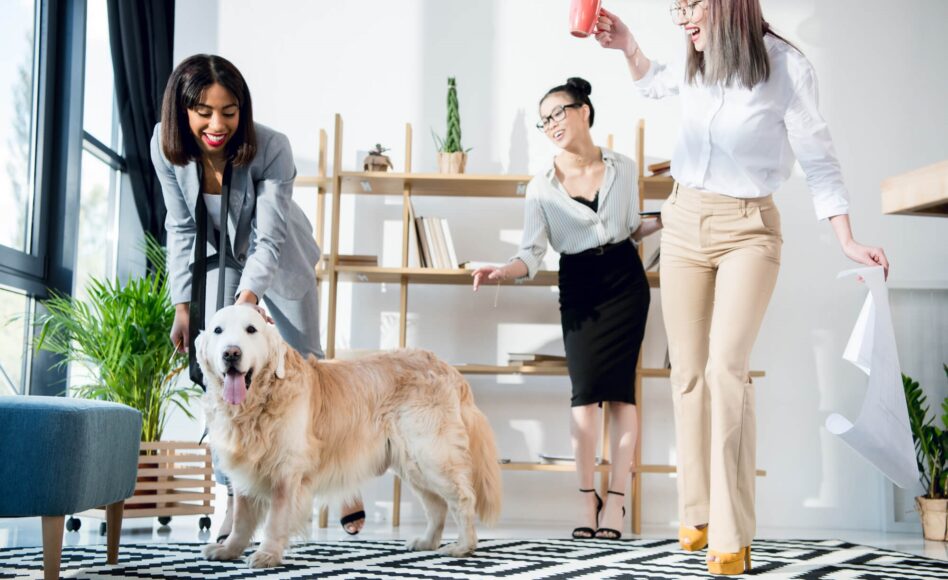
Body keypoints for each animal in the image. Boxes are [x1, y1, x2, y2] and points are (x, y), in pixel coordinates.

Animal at [193, 306, 504, 568]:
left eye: (251, 330)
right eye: (218, 330)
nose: (231, 354)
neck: (257, 403)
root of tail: (449, 369)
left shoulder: (287, 471)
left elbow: (275, 519)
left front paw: (267, 554)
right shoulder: (245, 472)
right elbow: (241, 518)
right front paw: (229, 549)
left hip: (431, 455)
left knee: (462, 498)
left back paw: (463, 546)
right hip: (412, 464)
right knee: (437, 505)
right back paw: (427, 541)